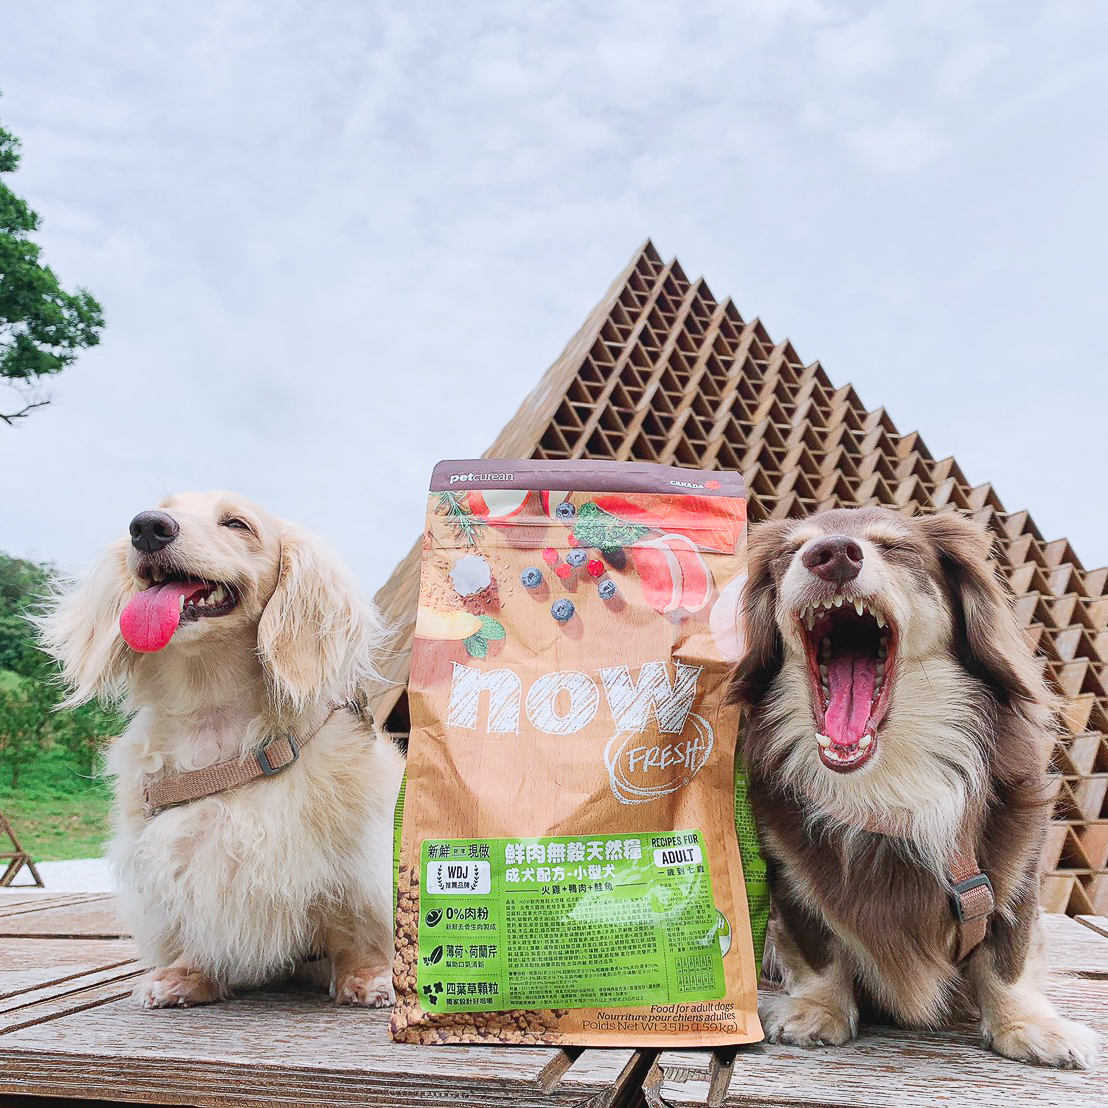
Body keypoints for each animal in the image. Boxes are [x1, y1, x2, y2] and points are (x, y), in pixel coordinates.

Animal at [39, 491, 405, 1009]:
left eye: (237, 524)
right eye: (160, 508)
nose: (146, 527)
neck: (211, 715)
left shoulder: (357, 863)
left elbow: (355, 927)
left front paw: (368, 977)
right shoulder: (180, 865)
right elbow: (198, 926)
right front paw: (188, 976)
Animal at [732, 505, 1098, 1068]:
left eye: (895, 547)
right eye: (792, 551)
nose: (832, 554)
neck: (885, 784)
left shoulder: (1015, 871)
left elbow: (1008, 957)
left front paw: (1027, 1024)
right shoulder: (790, 877)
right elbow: (818, 948)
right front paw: (819, 1007)